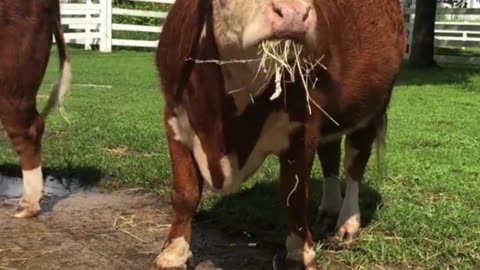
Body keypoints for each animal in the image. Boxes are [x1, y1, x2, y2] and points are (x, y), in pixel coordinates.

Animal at [156, 0, 406, 268]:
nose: (294, 14)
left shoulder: (303, 128)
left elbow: (294, 196)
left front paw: (300, 253)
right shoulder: (175, 122)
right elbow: (185, 194)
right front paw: (173, 254)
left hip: (371, 109)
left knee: (354, 167)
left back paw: (348, 224)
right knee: (330, 156)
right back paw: (329, 209)